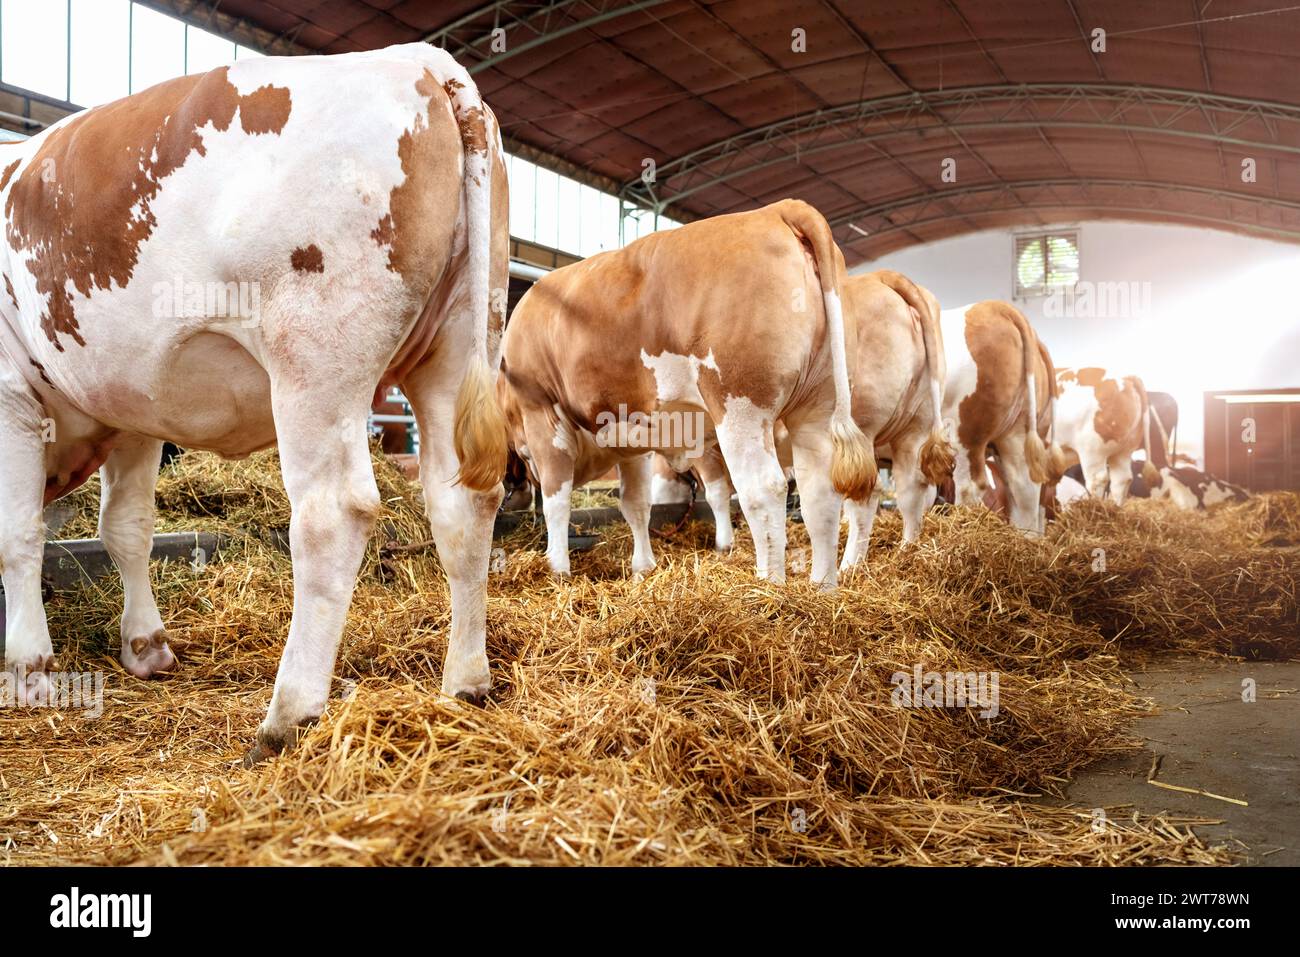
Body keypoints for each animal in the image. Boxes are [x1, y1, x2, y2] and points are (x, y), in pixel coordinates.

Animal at [0, 44, 509, 762]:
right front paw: (146, 646)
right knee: (463, 503)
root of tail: (419, 57)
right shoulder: (133, 410)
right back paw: (465, 683)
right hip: (461, 341)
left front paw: (31, 669)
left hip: (315, 357)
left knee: (333, 514)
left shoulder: (11, 392)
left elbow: (18, 533)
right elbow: (127, 528)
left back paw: (288, 714)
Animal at [498, 199, 874, 587]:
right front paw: (643, 567)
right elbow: (635, 503)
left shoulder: (541, 411)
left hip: (739, 406)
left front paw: (557, 567)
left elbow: (556, 499)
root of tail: (777, 209)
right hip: (818, 407)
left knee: (763, 489)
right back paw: (822, 587)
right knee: (820, 493)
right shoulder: (632, 437)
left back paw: (770, 585)